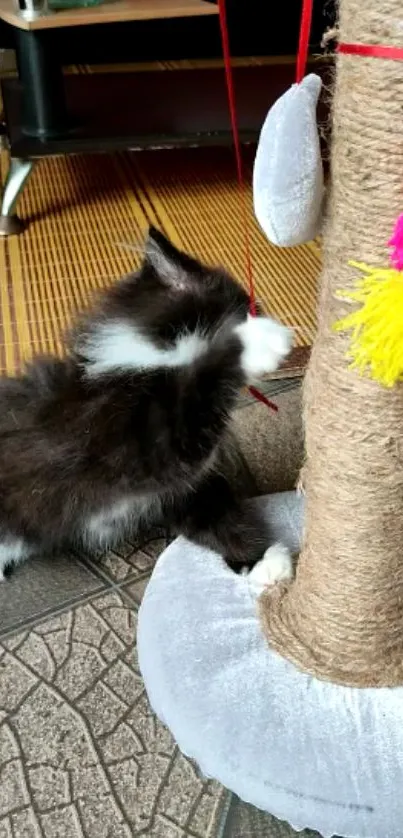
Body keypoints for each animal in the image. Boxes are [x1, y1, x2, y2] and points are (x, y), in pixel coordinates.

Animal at [0, 226, 294, 588]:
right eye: (249, 308)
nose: (265, 315)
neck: (148, 362)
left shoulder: (184, 490)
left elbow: (217, 516)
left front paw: (259, 561)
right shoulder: (143, 445)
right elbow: (197, 389)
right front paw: (257, 342)